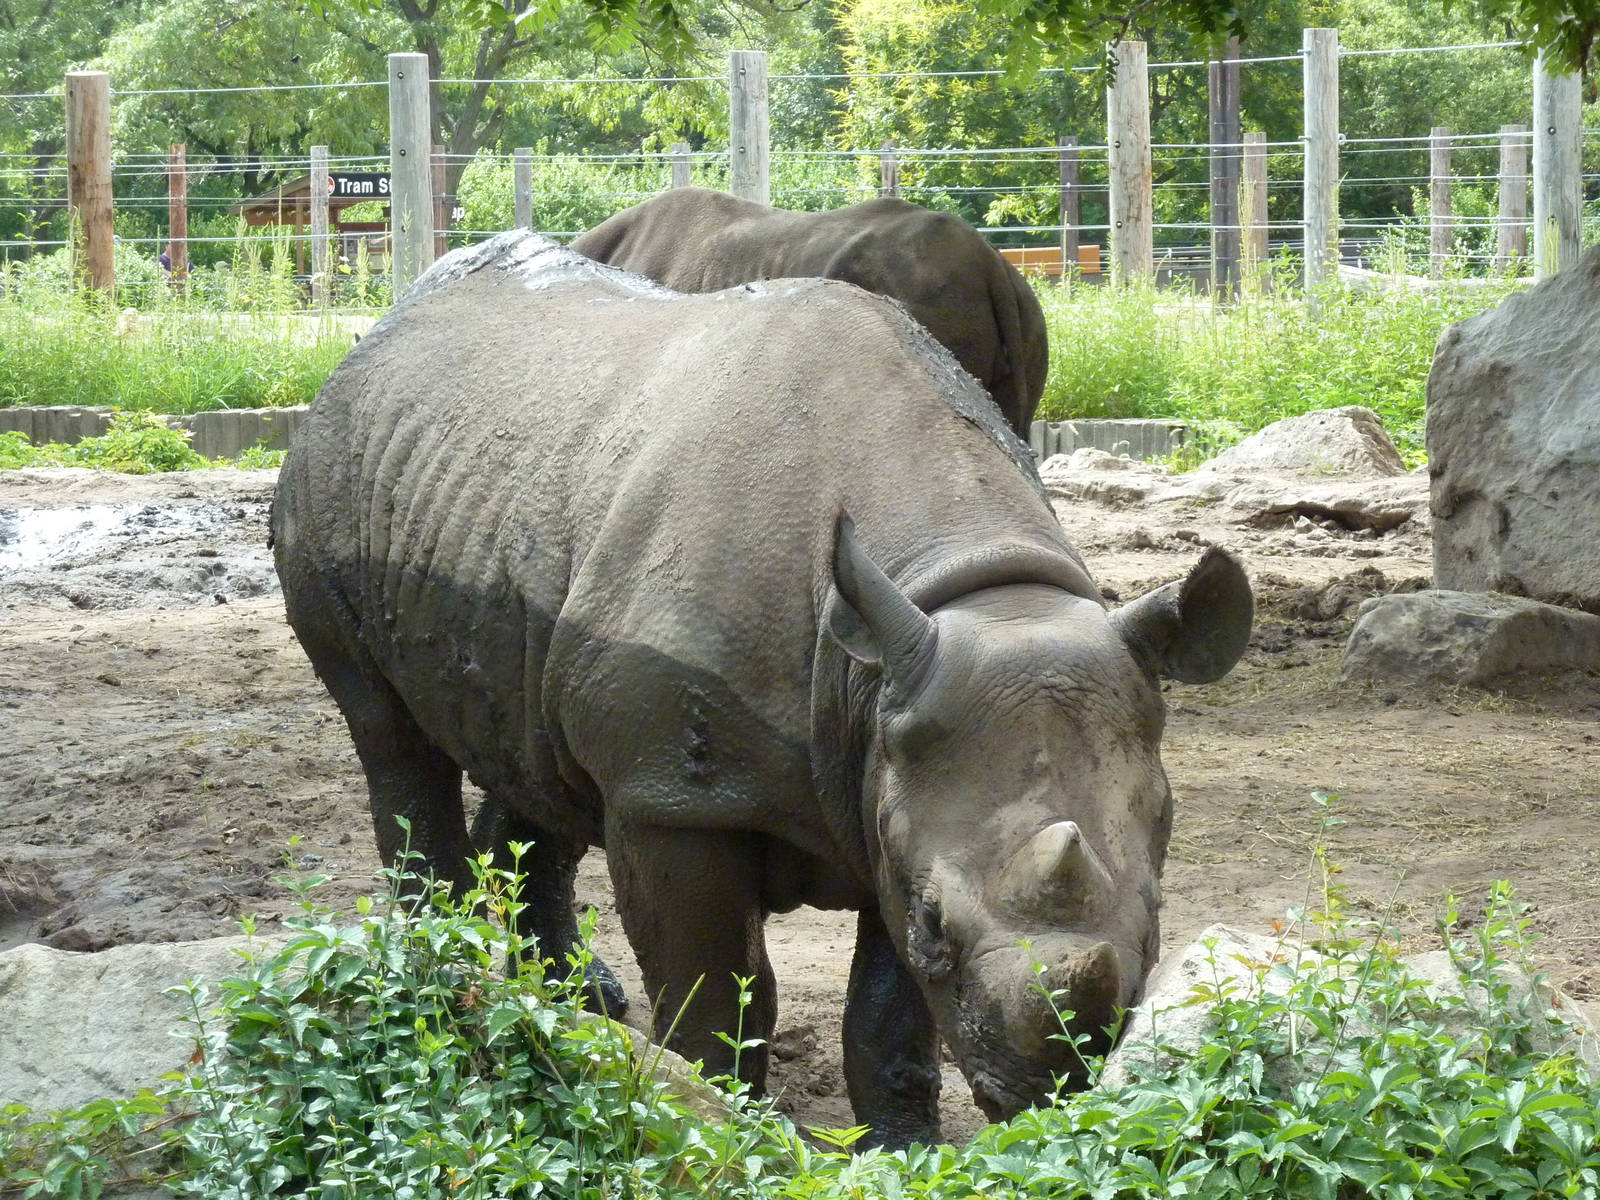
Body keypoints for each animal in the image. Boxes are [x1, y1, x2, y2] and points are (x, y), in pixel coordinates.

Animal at [272, 232, 1252, 1148]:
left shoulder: (891, 762)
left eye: (1158, 925)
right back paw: (444, 986)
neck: (977, 589)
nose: (1049, 1097)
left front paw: (898, 1148)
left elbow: (887, 1017)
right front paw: (718, 1120)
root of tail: (377, 332)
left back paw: (575, 1002)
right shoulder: (676, 794)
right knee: (392, 738)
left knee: (532, 742)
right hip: (326, 467)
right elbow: (716, 996)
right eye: (937, 924)